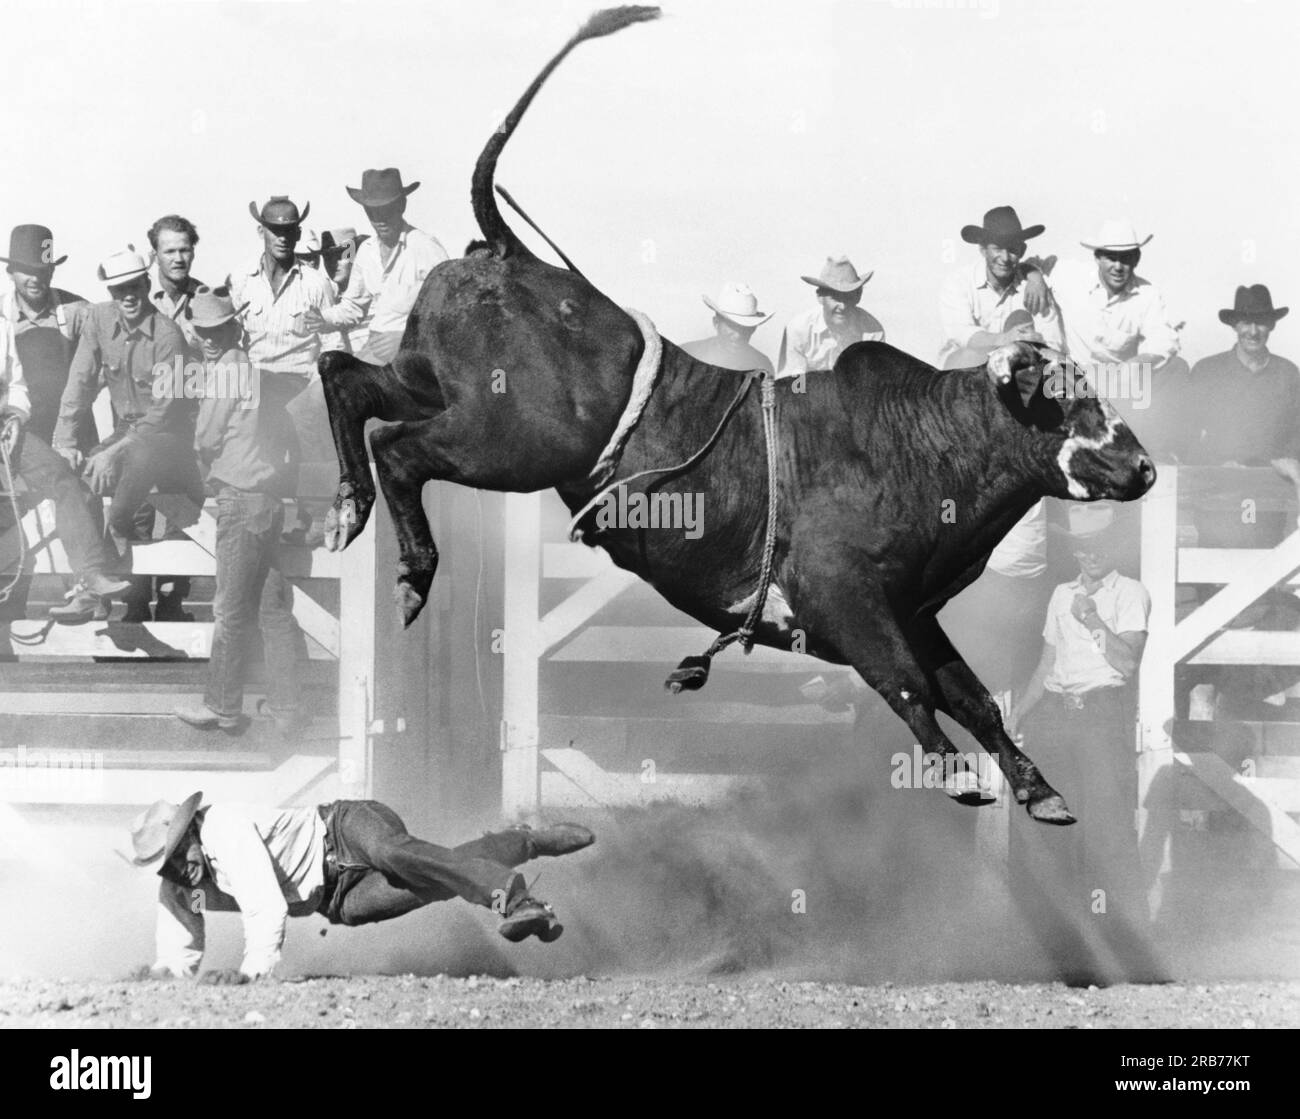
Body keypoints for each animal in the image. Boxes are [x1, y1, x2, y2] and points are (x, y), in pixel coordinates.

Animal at [317, 6, 1159, 821]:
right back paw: (411, 572)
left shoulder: (914, 610)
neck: (919, 445)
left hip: (430, 380)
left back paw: (348, 507)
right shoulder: (846, 599)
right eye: (1062, 400)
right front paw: (956, 775)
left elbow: (975, 696)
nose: (1144, 466)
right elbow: (910, 683)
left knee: (348, 380)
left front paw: (1038, 788)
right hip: (512, 439)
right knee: (399, 447)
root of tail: (513, 255)